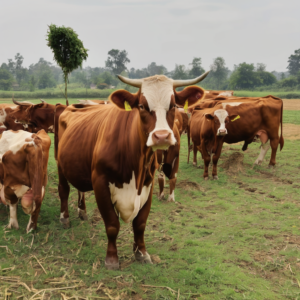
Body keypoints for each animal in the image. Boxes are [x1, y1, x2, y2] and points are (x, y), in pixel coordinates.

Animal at [55, 72, 209, 270]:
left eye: (174, 105)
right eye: (142, 106)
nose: (161, 136)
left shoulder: (148, 183)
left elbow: (140, 223)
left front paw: (141, 253)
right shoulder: (100, 182)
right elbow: (112, 224)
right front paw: (112, 259)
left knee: (80, 189)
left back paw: (82, 211)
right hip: (60, 164)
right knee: (64, 190)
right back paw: (64, 218)